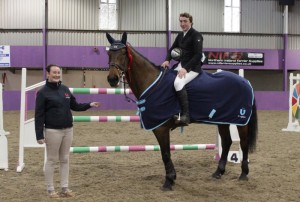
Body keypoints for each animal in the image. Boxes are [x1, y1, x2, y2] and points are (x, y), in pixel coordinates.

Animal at [105, 32, 258, 191]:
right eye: (109, 53)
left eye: (123, 52)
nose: (112, 78)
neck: (151, 81)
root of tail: (245, 82)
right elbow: (165, 153)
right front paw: (171, 179)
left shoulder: (161, 128)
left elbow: (165, 154)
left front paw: (168, 181)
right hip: (223, 120)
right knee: (227, 141)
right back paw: (218, 172)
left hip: (240, 122)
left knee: (244, 144)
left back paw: (243, 174)